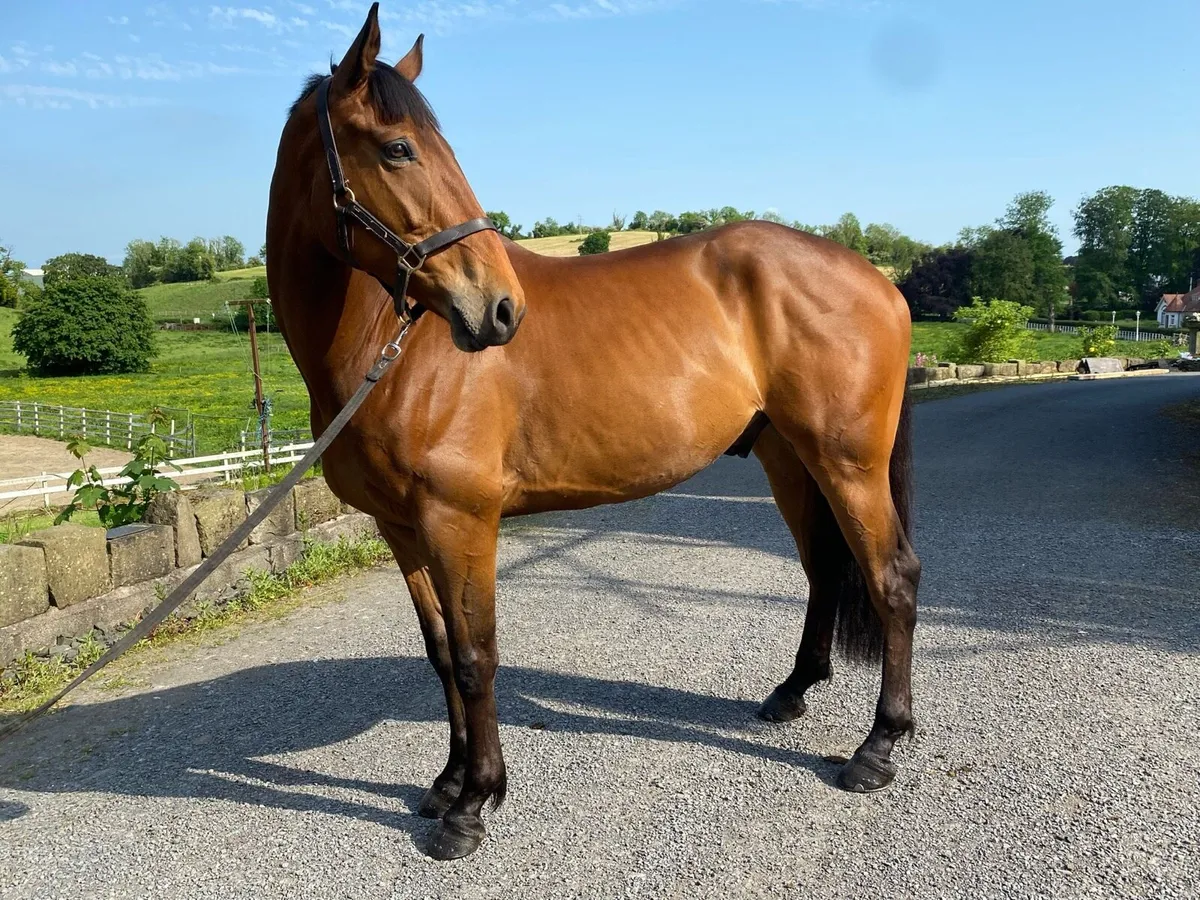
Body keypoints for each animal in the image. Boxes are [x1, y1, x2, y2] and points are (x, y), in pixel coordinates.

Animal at [266, 3, 920, 861]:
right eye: (399, 148)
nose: (500, 309)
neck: (390, 346)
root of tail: (879, 279)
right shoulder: (402, 529)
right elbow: (439, 653)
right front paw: (446, 783)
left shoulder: (459, 521)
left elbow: (476, 658)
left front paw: (474, 804)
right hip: (789, 458)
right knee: (823, 570)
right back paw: (791, 693)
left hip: (848, 462)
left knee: (891, 579)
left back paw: (879, 746)